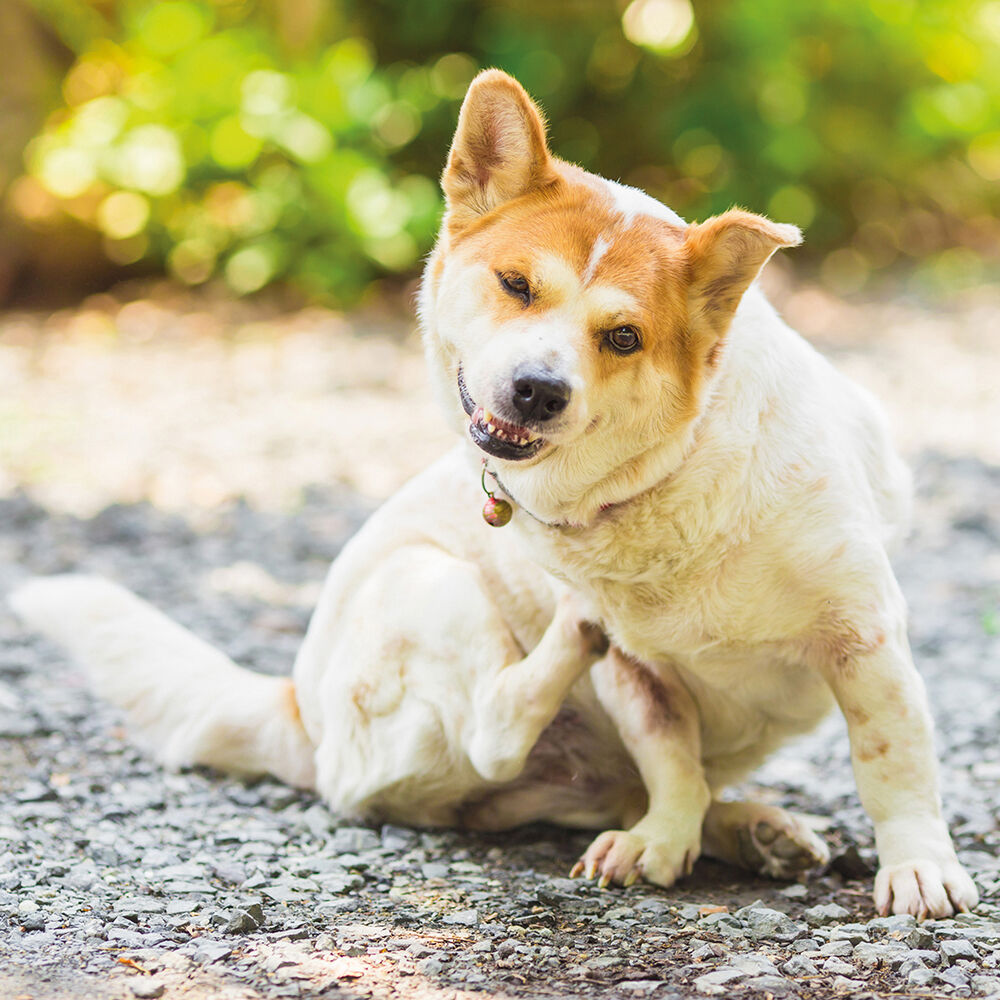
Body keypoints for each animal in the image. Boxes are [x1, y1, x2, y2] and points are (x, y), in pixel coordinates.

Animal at [7, 68, 976, 916]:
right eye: (517, 285)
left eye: (623, 337)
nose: (538, 390)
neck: (671, 476)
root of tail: (297, 711)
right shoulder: (638, 676)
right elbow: (670, 759)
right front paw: (664, 840)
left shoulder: (864, 637)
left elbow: (891, 759)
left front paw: (917, 867)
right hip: (432, 584)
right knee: (496, 729)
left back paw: (751, 829)